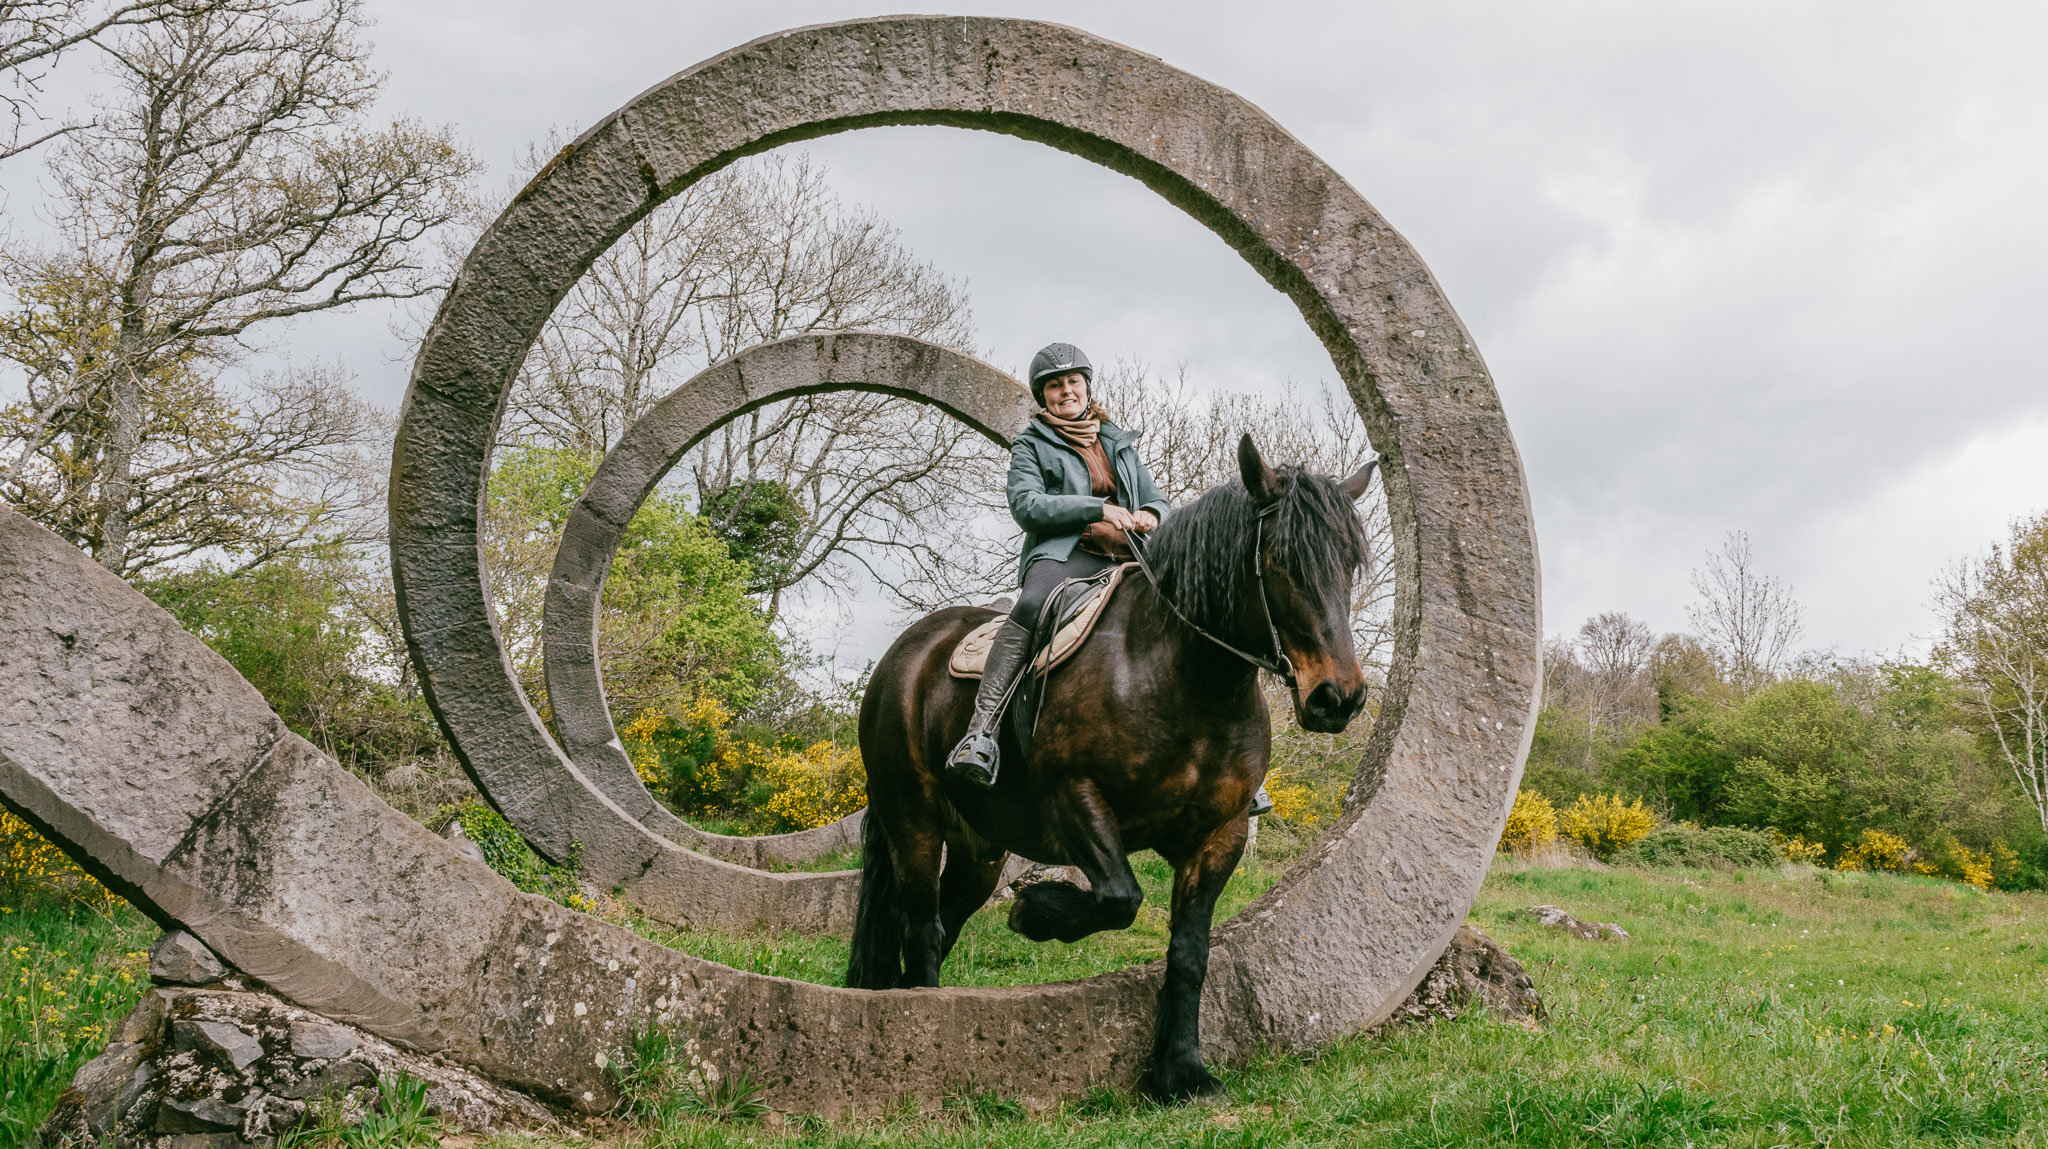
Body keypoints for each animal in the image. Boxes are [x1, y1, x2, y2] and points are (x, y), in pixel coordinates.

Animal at [847, 434, 1376, 1097]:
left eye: (1349, 563)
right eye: (1281, 560)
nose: (1339, 698)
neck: (1180, 678)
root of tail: (906, 653)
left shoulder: (1218, 834)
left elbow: (1190, 953)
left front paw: (1182, 1072)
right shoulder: (1076, 800)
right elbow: (1121, 896)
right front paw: (1036, 912)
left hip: (978, 849)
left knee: (944, 919)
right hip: (911, 819)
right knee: (920, 923)